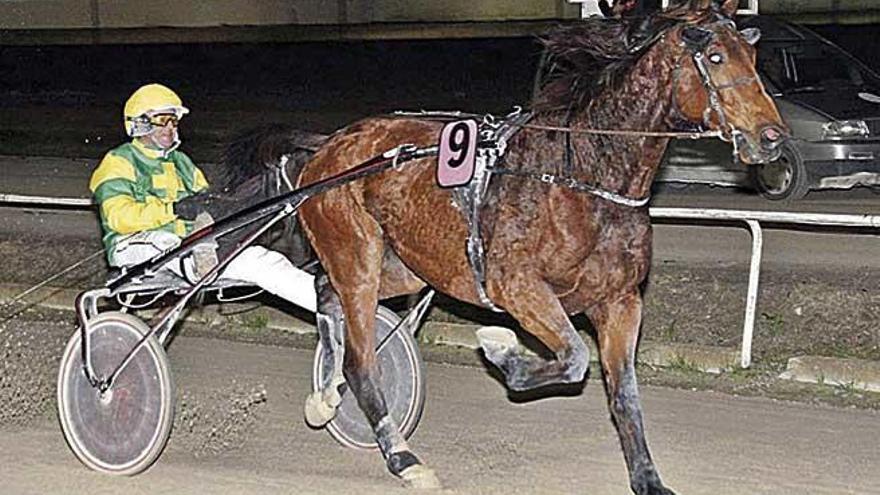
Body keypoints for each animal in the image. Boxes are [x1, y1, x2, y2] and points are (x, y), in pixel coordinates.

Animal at [230, 1, 788, 494]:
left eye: (751, 55)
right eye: (714, 57)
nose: (772, 137)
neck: (583, 175)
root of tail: (328, 146)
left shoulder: (620, 300)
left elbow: (623, 395)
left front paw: (648, 480)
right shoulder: (517, 285)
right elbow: (573, 358)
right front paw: (503, 352)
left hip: (410, 264)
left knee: (326, 291)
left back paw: (325, 398)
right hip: (359, 255)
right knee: (360, 361)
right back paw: (404, 458)